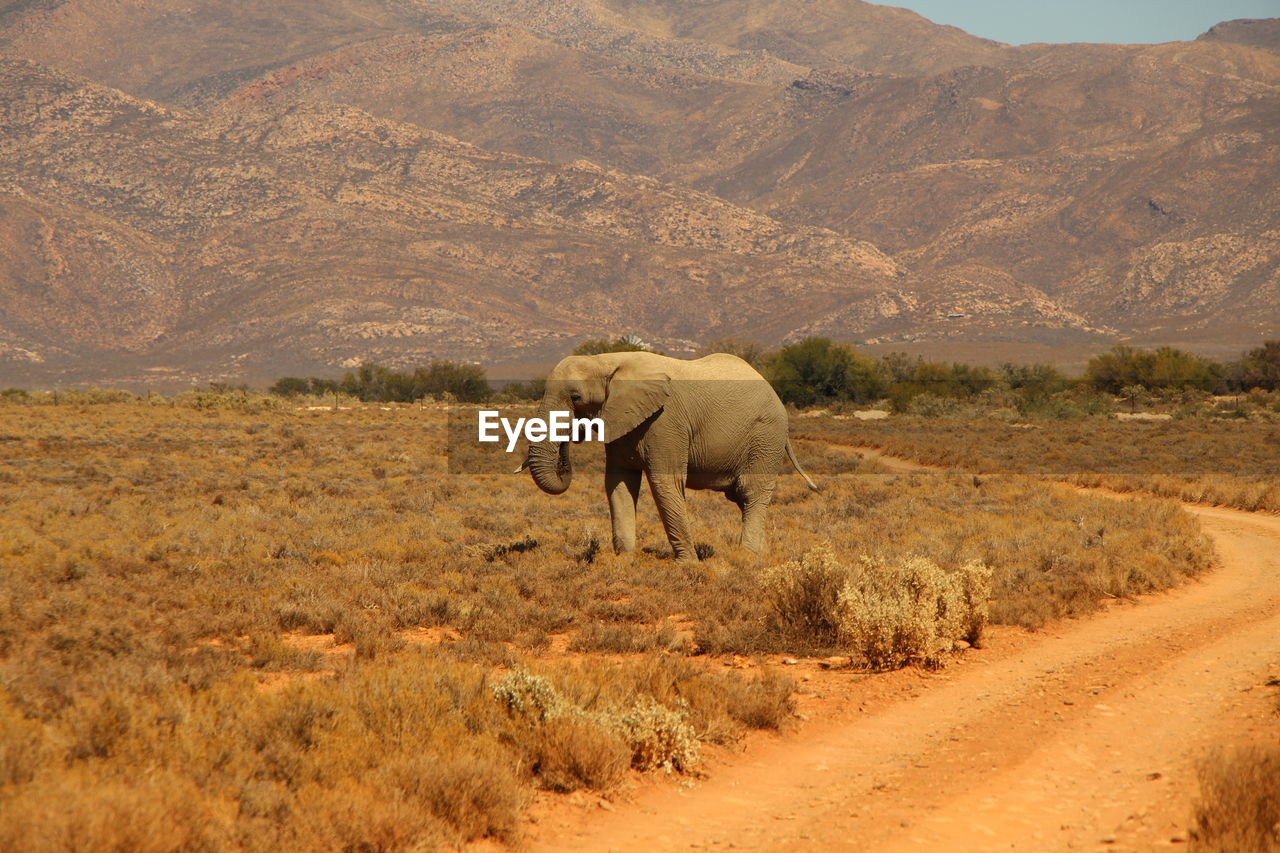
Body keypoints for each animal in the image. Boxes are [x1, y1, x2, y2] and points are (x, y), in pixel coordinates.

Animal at [519, 348, 819, 560]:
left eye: (576, 397)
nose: (570, 437)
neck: (606, 361)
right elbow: (618, 483)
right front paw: (625, 560)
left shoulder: (666, 422)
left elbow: (665, 483)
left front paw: (689, 564)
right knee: (741, 498)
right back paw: (762, 555)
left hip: (766, 435)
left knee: (751, 492)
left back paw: (748, 557)